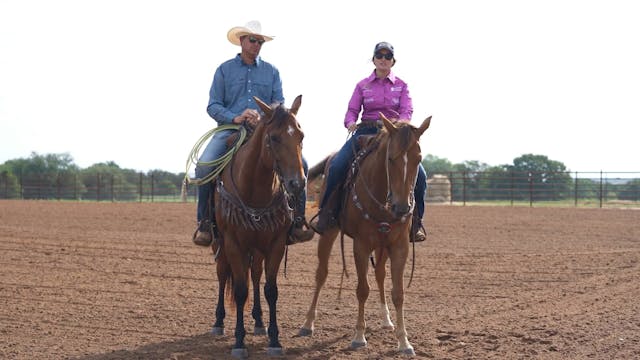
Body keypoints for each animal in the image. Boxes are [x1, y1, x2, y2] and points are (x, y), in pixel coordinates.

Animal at [211, 94, 308, 358]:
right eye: (274, 137)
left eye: (301, 135)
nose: (297, 183)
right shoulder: (233, 243)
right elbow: (240, 290)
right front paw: (238, 342)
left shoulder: (275, 244)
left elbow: (270, 290)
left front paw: (274, 339)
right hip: (220, 245)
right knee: (223, 275)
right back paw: (218, 322)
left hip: (257, 248)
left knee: (255, 275)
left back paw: (258, 321)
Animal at [298, 114, 430, 356]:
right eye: (390, 158)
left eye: (419, 158)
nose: (401, 207)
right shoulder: (361, 245)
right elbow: (362, 290)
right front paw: (359, 336)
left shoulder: (399, 246)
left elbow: (398, 293)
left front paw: (404, 342)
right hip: (329, 232)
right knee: (321, 274)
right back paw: (307, 324)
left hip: (382, 245)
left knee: (379, 274)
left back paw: (386, 320)